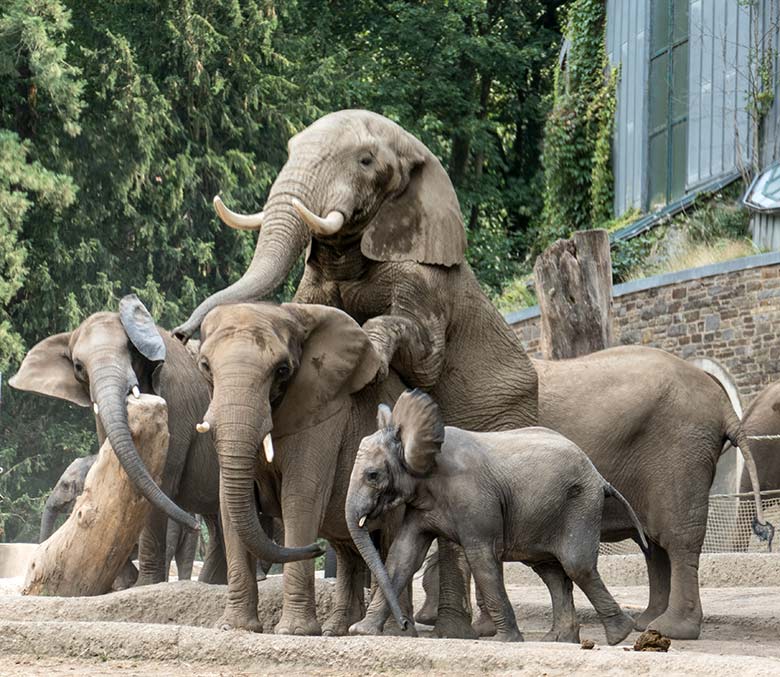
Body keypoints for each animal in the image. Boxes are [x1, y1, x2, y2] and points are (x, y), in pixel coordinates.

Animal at [195, 302, 406, 632]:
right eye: (205, 366)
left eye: (282, 370)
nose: (315, 550)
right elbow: (228, 506)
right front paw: (235, 628)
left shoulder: (322, 412)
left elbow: (300, 497)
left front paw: (294, 631)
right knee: (347, 544)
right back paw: (337, 630)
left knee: (389, 539)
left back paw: (390, 631)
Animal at [348, 386, 644, 644]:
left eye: (372, 475)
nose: (404, 624)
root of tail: (599, 476)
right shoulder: (421, 506)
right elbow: (404, 555)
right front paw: (361, 631)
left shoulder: (473, 497)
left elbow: (481, 557)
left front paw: (507, 641)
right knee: (552, 573)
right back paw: (561, 640)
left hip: (580, 504)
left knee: (576, 566)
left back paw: (619, 635)